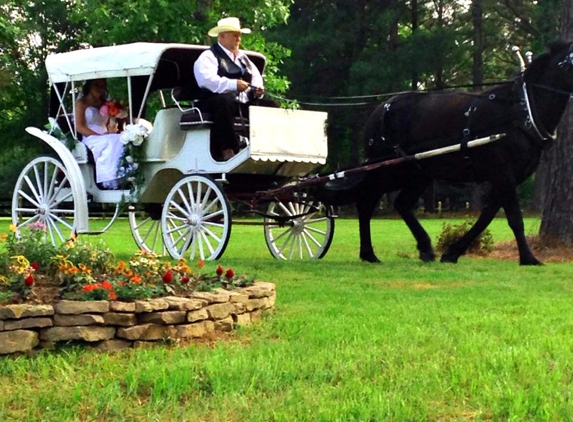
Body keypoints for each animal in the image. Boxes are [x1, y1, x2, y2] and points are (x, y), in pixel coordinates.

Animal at [318, 42, 572, 264]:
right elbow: (514, 218)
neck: (523, 109)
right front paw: (529, 258)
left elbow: (487, 216)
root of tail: (380, 109)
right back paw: (369, 253)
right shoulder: (503, 173)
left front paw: (452, 253)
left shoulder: (508, 177)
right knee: (366, 201)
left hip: (418, 173)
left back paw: (423, 249)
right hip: (389, 171)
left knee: (400, 204)